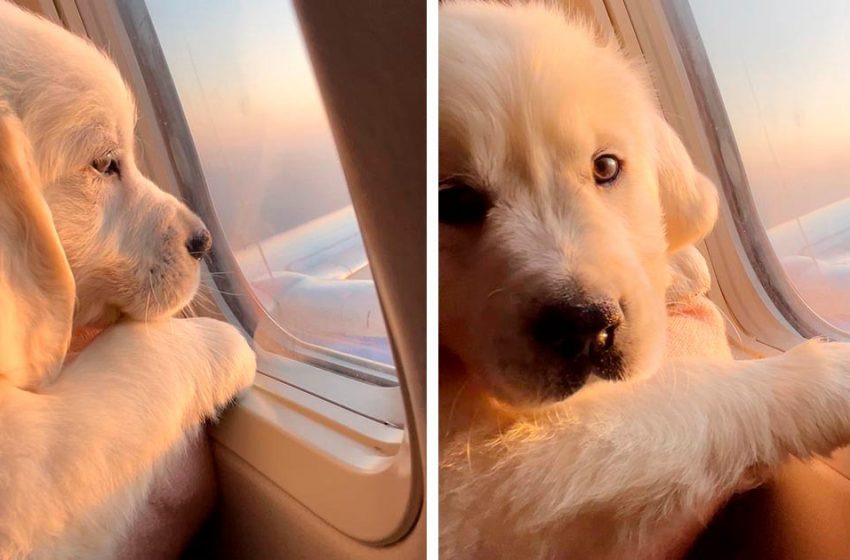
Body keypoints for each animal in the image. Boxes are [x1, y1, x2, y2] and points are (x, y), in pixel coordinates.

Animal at [440, 2, 850, 556]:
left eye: (606, 166)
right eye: (452, 202)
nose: (587, 326)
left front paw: (679, 264)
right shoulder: (488, 472)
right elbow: (692, 399)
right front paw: (829, 377)